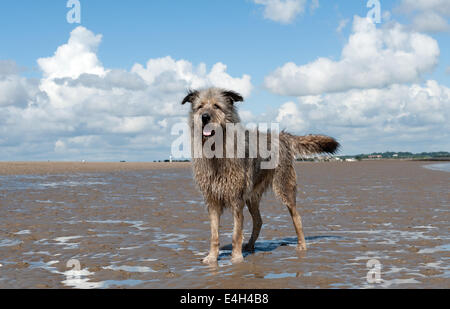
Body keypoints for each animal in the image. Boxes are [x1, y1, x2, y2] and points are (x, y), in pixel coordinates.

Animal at [181, 86, 340, 262]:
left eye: (216, 106)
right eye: (200, 106)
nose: (205, 117)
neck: (217, 150)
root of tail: (282, 136)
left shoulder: (237, 199)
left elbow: (236, 232)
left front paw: (236, 258)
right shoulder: (212, 200)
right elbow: (214, 234)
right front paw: (212, 257)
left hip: (284, 187)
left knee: (296, 217)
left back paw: (302, 246)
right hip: (252, 196)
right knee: (258, 221)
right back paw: (250, 245)